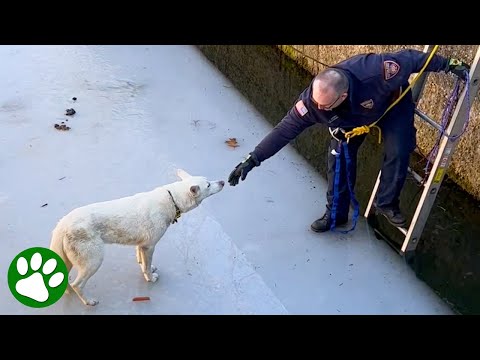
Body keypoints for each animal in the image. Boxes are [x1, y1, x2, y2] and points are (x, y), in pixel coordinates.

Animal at [48, 169, 225, 306]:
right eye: (208, 185)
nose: (223, 182)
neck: (172, 199)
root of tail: (63, 223)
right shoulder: (150, 246)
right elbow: (146, 267)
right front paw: (150, 278)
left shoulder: (141, 245)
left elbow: (142, 262)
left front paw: (147, 268)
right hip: (94, 261)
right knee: (77, 284)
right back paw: (88, 301)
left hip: (70, 260)